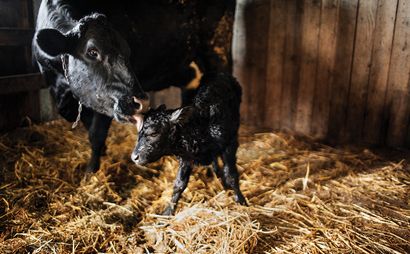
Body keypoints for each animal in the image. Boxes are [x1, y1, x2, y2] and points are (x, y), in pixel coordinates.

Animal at [32, 0, 235, 171]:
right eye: (92, 51)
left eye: (128, 51)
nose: (141, 102)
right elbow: (89, 128)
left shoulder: (104, 100)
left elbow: (96, 134)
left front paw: (91, 171)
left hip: (218, 48)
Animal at [131, 73, 247, 214]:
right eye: (139, 132)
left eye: (154, 133)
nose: (134, 157)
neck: (201, 127)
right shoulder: (186, 157)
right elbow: (179, 184)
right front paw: (168, 212)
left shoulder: (230, 144)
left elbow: (231, 175)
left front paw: (241, 201)